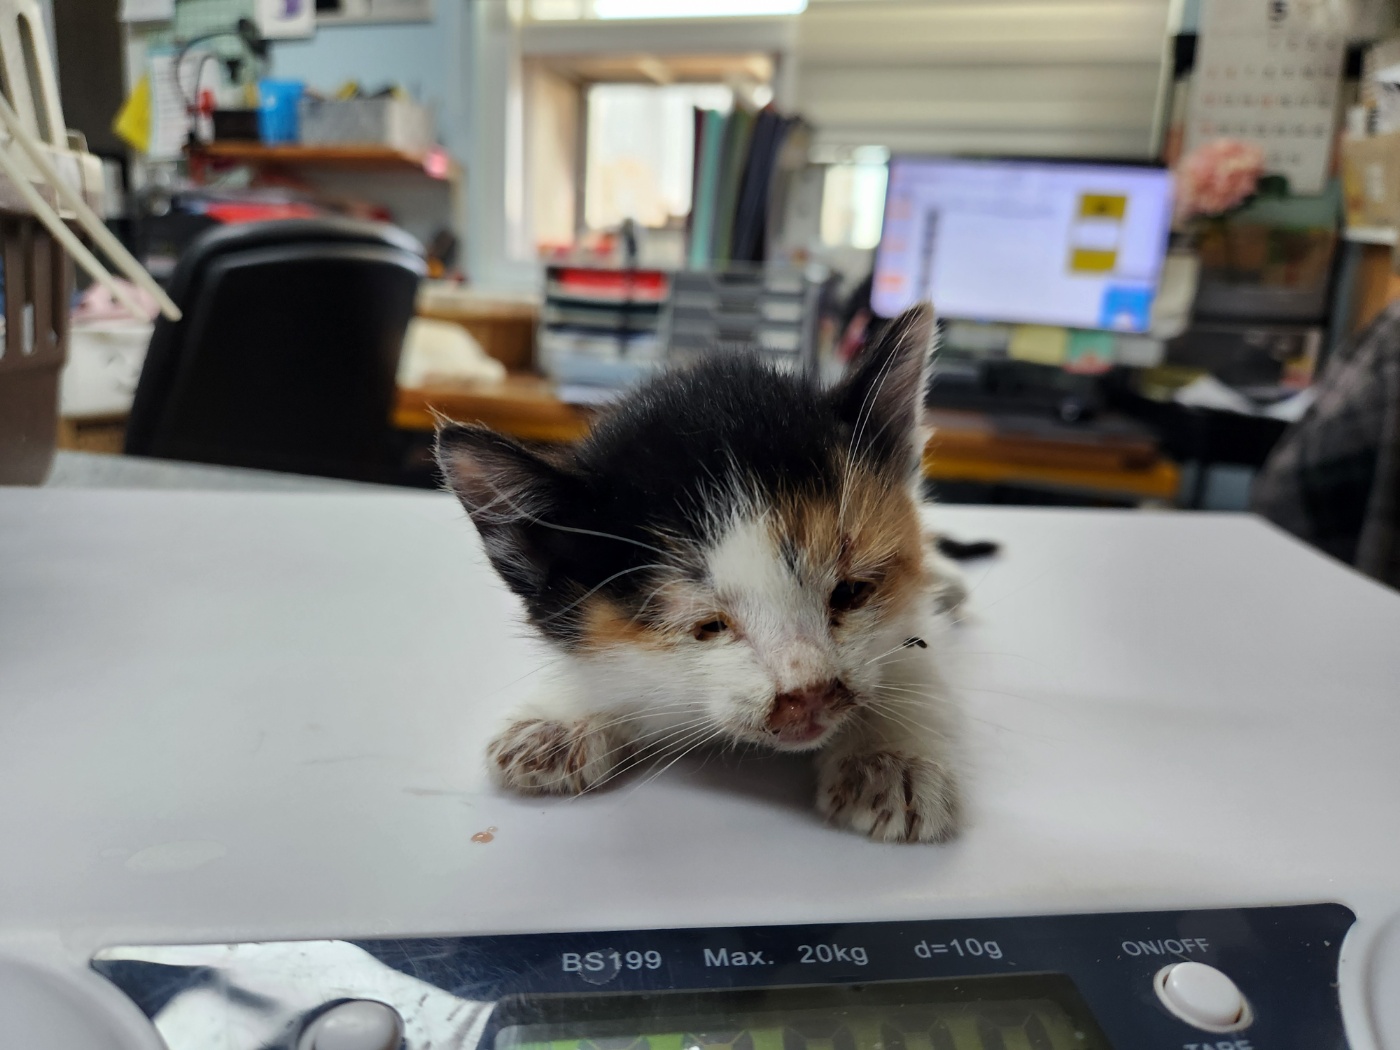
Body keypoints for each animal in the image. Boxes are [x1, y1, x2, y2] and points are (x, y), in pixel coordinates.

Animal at [442, 303, 968, 845]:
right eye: (709, 626)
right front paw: (564, 715)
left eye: (851, 592)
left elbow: (913, 647)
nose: (811, 695)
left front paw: (890, 754)